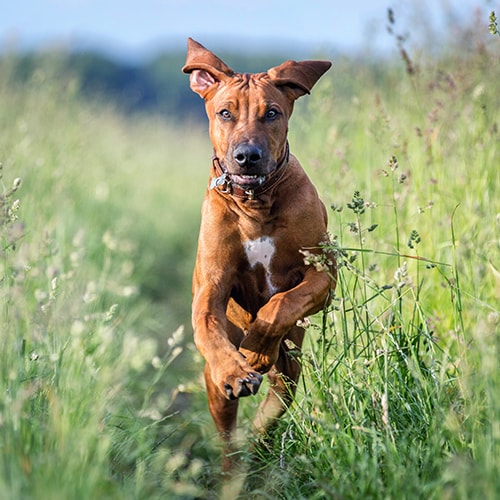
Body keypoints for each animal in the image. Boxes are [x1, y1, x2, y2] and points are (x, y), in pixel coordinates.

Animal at [183, 39, 336, 472]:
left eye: (272, 113)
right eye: (225, 113)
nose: (247, 156)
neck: (255, 202)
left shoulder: (324, 276)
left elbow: (281, 304)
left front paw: (256, 348)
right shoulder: (211, 287)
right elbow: (208, 326)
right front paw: (238, 367)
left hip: (292, 368)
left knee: (274, 403)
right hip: (214, 388)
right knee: (227, 435)